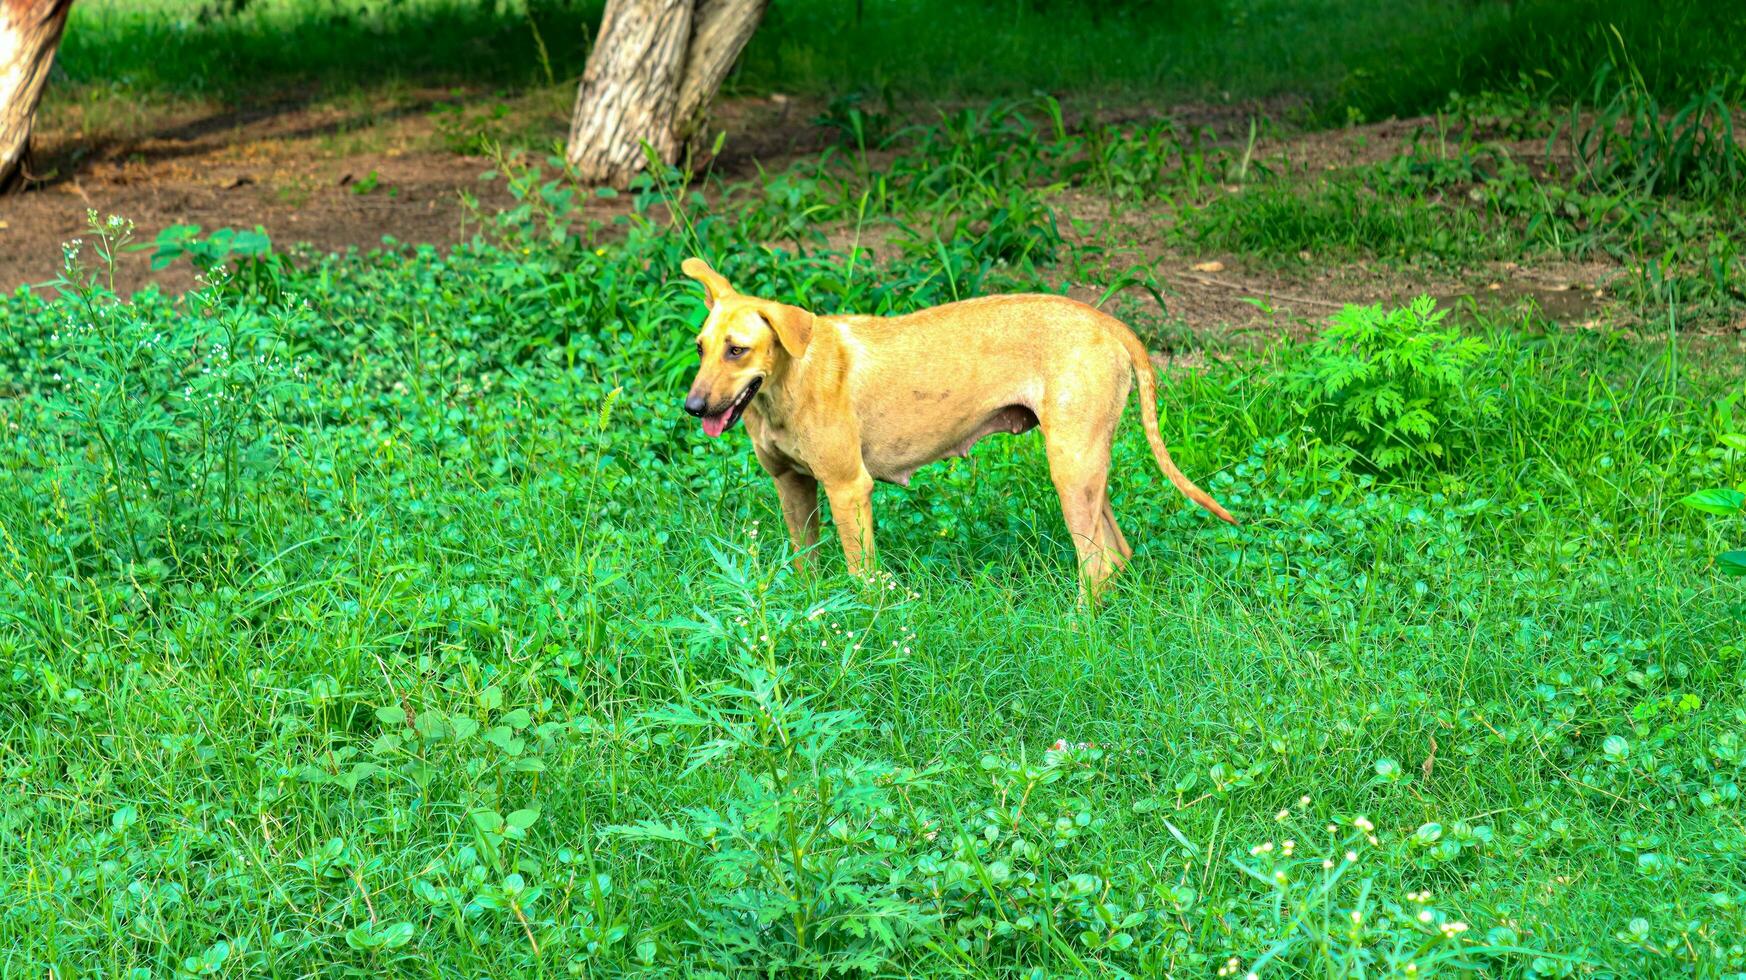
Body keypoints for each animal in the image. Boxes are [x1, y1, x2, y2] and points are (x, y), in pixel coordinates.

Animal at [673, 258, 1236, 597]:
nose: (692, 407)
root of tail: (1108, 321)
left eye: (737, 350)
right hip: (1088, 472)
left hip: (1071, 472)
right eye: (701, 348)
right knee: (1116, 557)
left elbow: (862, 577)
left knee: (1095, 566)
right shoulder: (793, 485)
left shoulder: (848, 488)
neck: (789, 379)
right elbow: (806, 564)